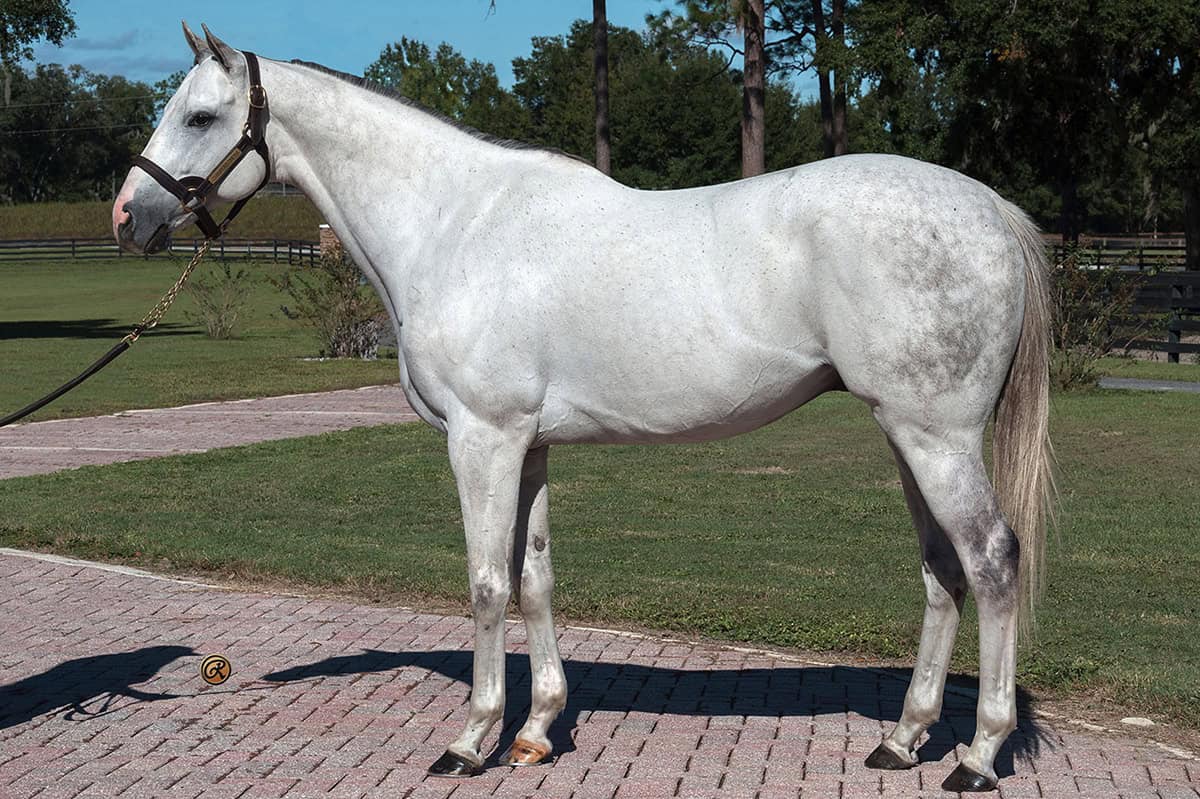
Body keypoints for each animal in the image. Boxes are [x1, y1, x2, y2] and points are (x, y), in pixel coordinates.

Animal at [113, 24, 1054, 793]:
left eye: (201, 116)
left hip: (936, 438)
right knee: (942, 572)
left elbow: (487, 584)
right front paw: (536, 729)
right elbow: (535, 581)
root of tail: (991, 210)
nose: (127, 215)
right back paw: (904, 739)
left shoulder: (481, 440)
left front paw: (472, 740)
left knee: (992, 562)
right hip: (905, 433)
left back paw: (978, 754)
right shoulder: (527, 445)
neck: (453, 223)